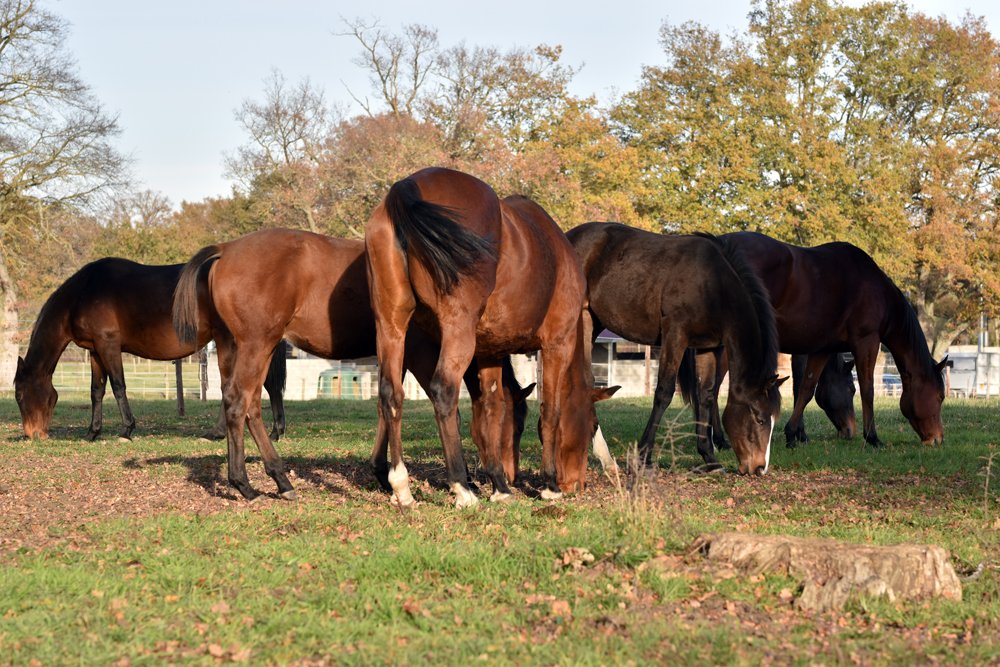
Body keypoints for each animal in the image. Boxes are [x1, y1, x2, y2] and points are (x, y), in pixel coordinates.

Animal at [13, 258, 286, 441]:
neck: (83, 293)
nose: (32, 435)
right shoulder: (95, 350)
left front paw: (126, 429)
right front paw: (93, 432)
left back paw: (218, 433)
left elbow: (118, 386)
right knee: (268, 387)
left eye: (19, 395)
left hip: (229, 343)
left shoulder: (108, 344)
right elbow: (96, 391)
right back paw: (275, 431)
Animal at [172, 228, 534, 502]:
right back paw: (245, 485)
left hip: (242, 347)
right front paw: (461, 480)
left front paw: (383, 472)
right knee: (237, 403)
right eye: (517, 423)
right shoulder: (420, 354)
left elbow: (385, 407)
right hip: (257, 344)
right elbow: (442, 410)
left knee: (248, 407)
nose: (511, 476)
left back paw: (281, 480)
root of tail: (225, 249)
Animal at [365, 167, 614, 508]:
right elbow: (551, 410)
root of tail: (406, 188)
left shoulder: (490, 352)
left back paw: (401, 486)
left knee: (391, 396)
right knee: (444, 391)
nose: (575, 484)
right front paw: (549, 485)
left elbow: (491, 411)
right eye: (591, 427)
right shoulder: (557, 344)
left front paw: (499, 485)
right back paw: (462, 488)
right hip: (457, 332)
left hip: (392, 328)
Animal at [567, 222, 786, 475]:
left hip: (592, 322)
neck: (713, 285)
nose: (760, 468)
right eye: (759, 418)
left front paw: (709, 458)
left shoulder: (709, 348)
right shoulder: (675, 335)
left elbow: (706, 396)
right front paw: (643, 458)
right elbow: (664, 392)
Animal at [721, 232, 945, 447]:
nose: (937, 439)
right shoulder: (867, 342)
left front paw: (793, 434)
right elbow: (868, 389)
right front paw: (872, 437)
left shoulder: (821, 349)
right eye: (940, 396)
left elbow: (806, 389)